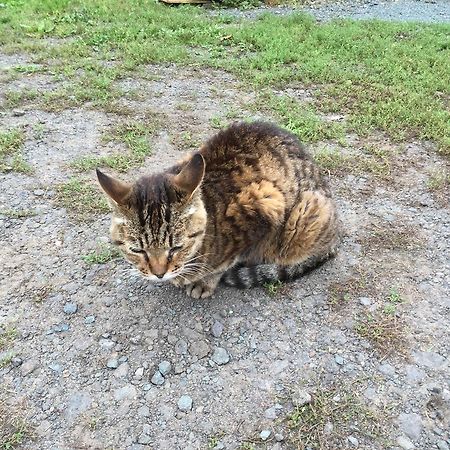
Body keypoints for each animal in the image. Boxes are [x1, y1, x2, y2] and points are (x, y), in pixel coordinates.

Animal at [96, 122, 340, 298]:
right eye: (137, 250)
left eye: (176, 247)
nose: (159, 274)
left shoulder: (266, 204)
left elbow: (223, 265)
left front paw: (204, 281)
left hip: (305, 217)